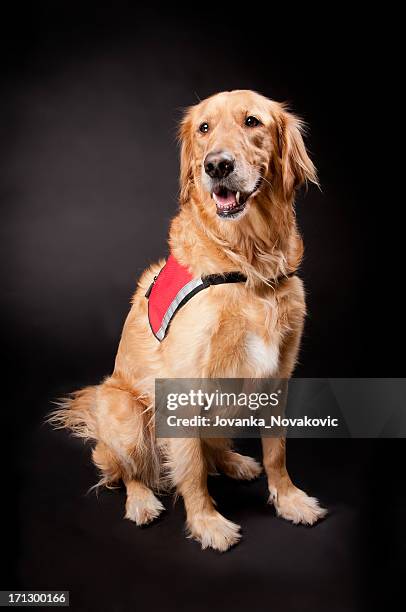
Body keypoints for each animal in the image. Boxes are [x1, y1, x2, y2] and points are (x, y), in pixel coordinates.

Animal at [52, 89, 326, 548]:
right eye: (204, 128)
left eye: (252, 122)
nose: (217, 165)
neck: (247, 266)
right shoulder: (183, 387)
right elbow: (192, 469)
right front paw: (207, 522)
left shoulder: (278, 376)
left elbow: (277, 451)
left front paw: (289, 499)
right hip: (123, 411)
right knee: (130, 471)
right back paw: (142, 502)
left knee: (212, 448)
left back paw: (234, 462)